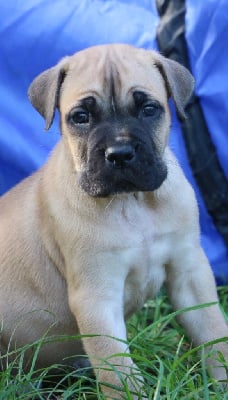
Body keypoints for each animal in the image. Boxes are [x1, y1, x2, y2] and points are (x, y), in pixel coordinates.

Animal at [0, 43, 227, 396]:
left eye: (149, 109)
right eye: (80, 117)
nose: (119, 153)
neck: (131, 203)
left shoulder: (190, 273)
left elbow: (213, 333)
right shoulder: (97, 297)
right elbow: (117, 369)